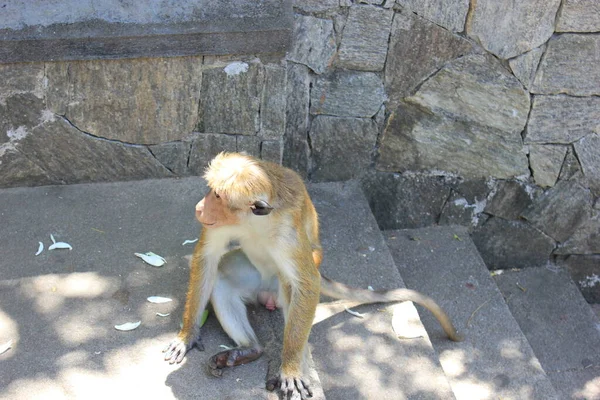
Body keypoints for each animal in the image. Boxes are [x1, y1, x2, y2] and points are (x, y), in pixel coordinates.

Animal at [162, 152, 462, 398]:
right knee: (223, 278)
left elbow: (306, 285)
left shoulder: (288, 232)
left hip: (283, 279)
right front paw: (188, 335)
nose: (200, 207)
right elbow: (207, 258)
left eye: (217, 196)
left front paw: (292, 369)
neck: (255, 221)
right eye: (211, 191)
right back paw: (250, 349)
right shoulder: (222, 224)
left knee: (290, 287)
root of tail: (264, 293)